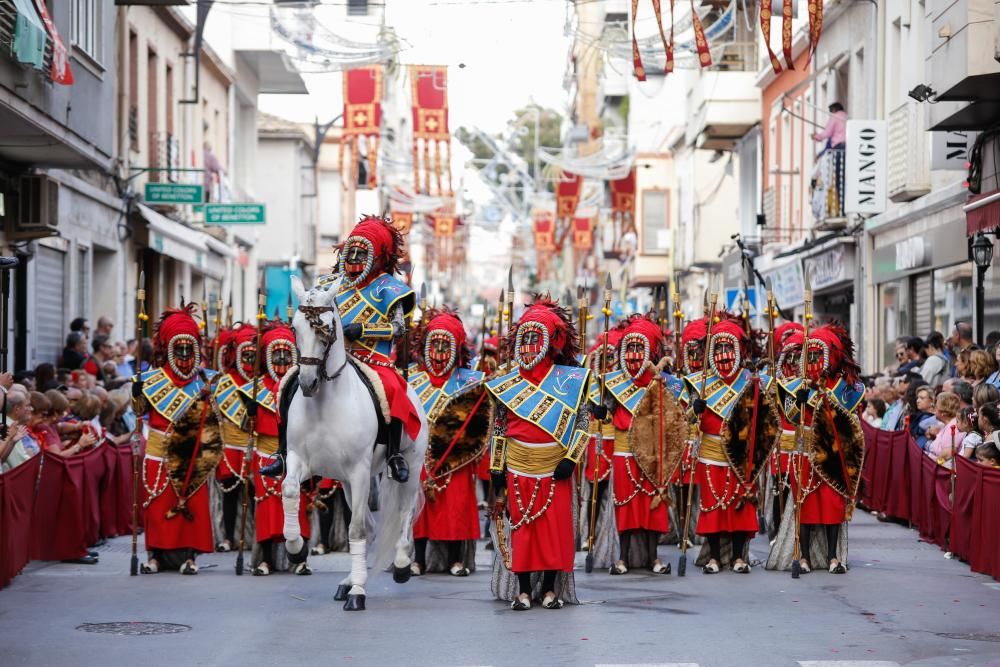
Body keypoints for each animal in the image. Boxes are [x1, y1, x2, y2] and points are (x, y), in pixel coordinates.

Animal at [280, 276, 428, 612]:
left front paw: (358, 593)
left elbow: (356, 529)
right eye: (295, 328)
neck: (324, 404)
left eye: (327, 327)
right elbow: (290, 489)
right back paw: (347, 581)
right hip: (346, 482)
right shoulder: (300, 460)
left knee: (404, 512)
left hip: (410, 467)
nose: (307, 382)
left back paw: (401, 564)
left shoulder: (360, 471)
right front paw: (295, 547)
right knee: (373, 527)